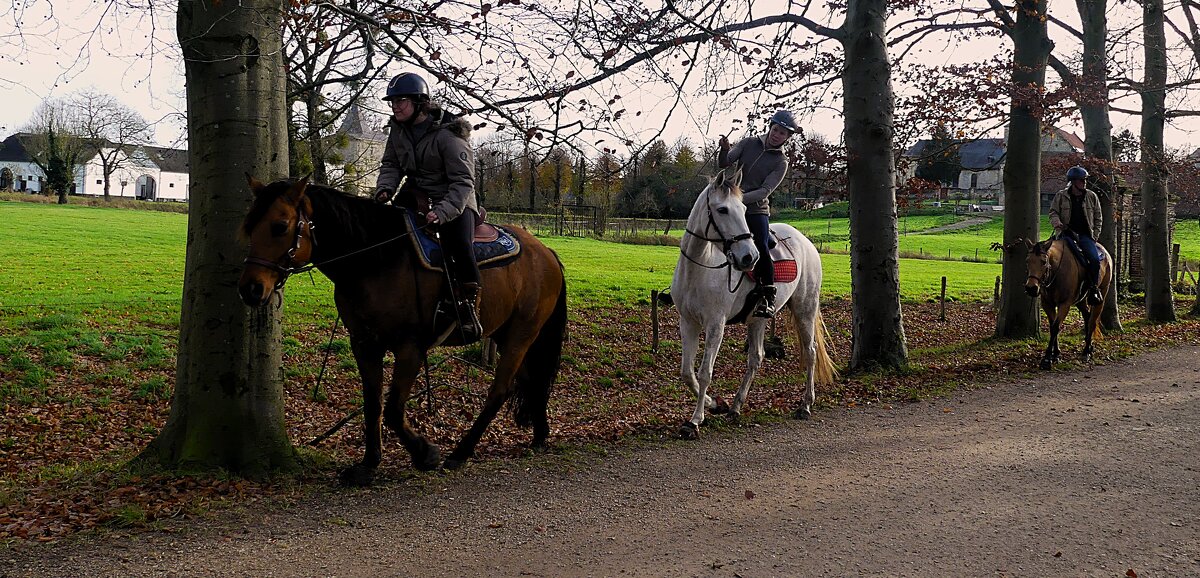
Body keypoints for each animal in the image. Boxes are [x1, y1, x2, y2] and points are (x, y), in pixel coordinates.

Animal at [240, 178, 571, 484]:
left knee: (500, 390)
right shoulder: (364, 344)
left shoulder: (410, 347)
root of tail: (546, 252)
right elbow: (373, 404)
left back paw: (461, 452)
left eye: (280, 226)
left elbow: (393, 409)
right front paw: (368, 464)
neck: (376, 259)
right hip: (506, 334)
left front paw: (425, 453)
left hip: (521, 334)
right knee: (531, 380)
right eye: (249, 226)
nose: (251, 289)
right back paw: (540, 435)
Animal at [676, 169, 835, 441]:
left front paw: (695, 420)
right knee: (756, 358)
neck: (699, 267)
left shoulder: (715, 326)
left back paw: (805, 405)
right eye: (722, 209)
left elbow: (705, 372)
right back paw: (736, 407)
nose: (749, 257)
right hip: (758, 320)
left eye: (742, 208)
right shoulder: (688, 323)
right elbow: (687, 373)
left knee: (811, 352)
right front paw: (715, 404)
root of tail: (806, 243)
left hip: (805, 310)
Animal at [1022, 238, 1113, 369]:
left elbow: (1055, 327)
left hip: (1101, 296)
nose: (1031, 288)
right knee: (1087, 316)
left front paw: (1047, 358)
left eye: (1043, 262)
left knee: (1092, 321)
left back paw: (1086, 352)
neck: (1057, 271)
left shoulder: (1064, 304)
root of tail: (1105, 253)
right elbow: (1052, 326)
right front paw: (1056, 354)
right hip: (1081, 299)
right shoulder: (1047, 304)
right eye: (1027, 261)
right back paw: (1089, 347)